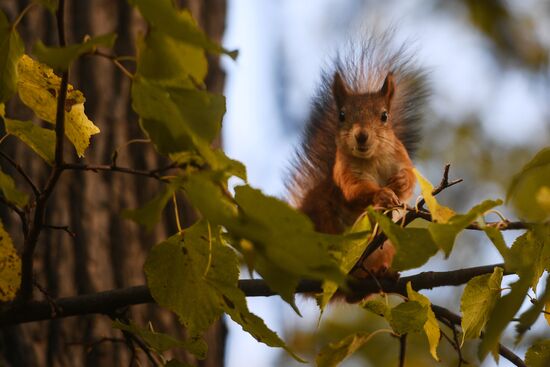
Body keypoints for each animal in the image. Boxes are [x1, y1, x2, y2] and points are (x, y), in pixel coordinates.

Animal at [288, 34, 432, 280]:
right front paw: (382, 194)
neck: (374, 159)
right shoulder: (344, 172)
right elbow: (355, 190)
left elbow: (410, 181)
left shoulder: (401, 158)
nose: (361, 136)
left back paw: (383, 272)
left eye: (385, 116)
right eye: (341, 115)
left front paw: (400, 181)